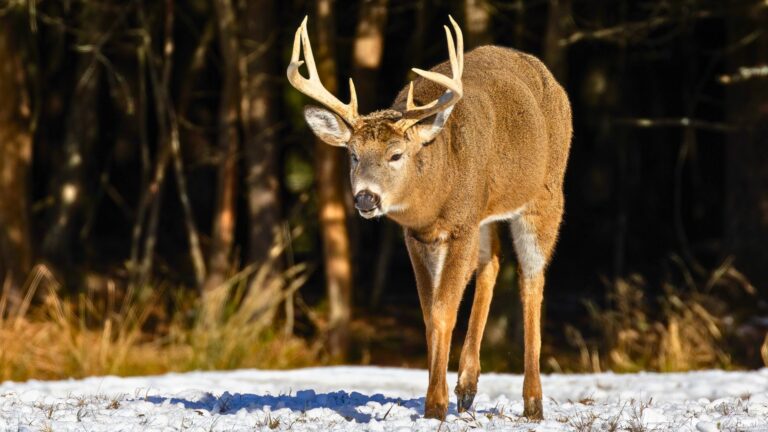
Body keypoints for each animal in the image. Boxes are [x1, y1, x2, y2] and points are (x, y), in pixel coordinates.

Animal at [287, 15, 572, 420]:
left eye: (396, 154)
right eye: (353, 154)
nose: (366, 197)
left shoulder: (460, 225)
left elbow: (442, 311)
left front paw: (435, 405)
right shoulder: (418, 234)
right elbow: (428, 313)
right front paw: (439, 398)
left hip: (545, 195)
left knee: (532, 277)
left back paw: (533, 402)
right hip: (484, 215)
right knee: (492, 263)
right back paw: (467, 388)